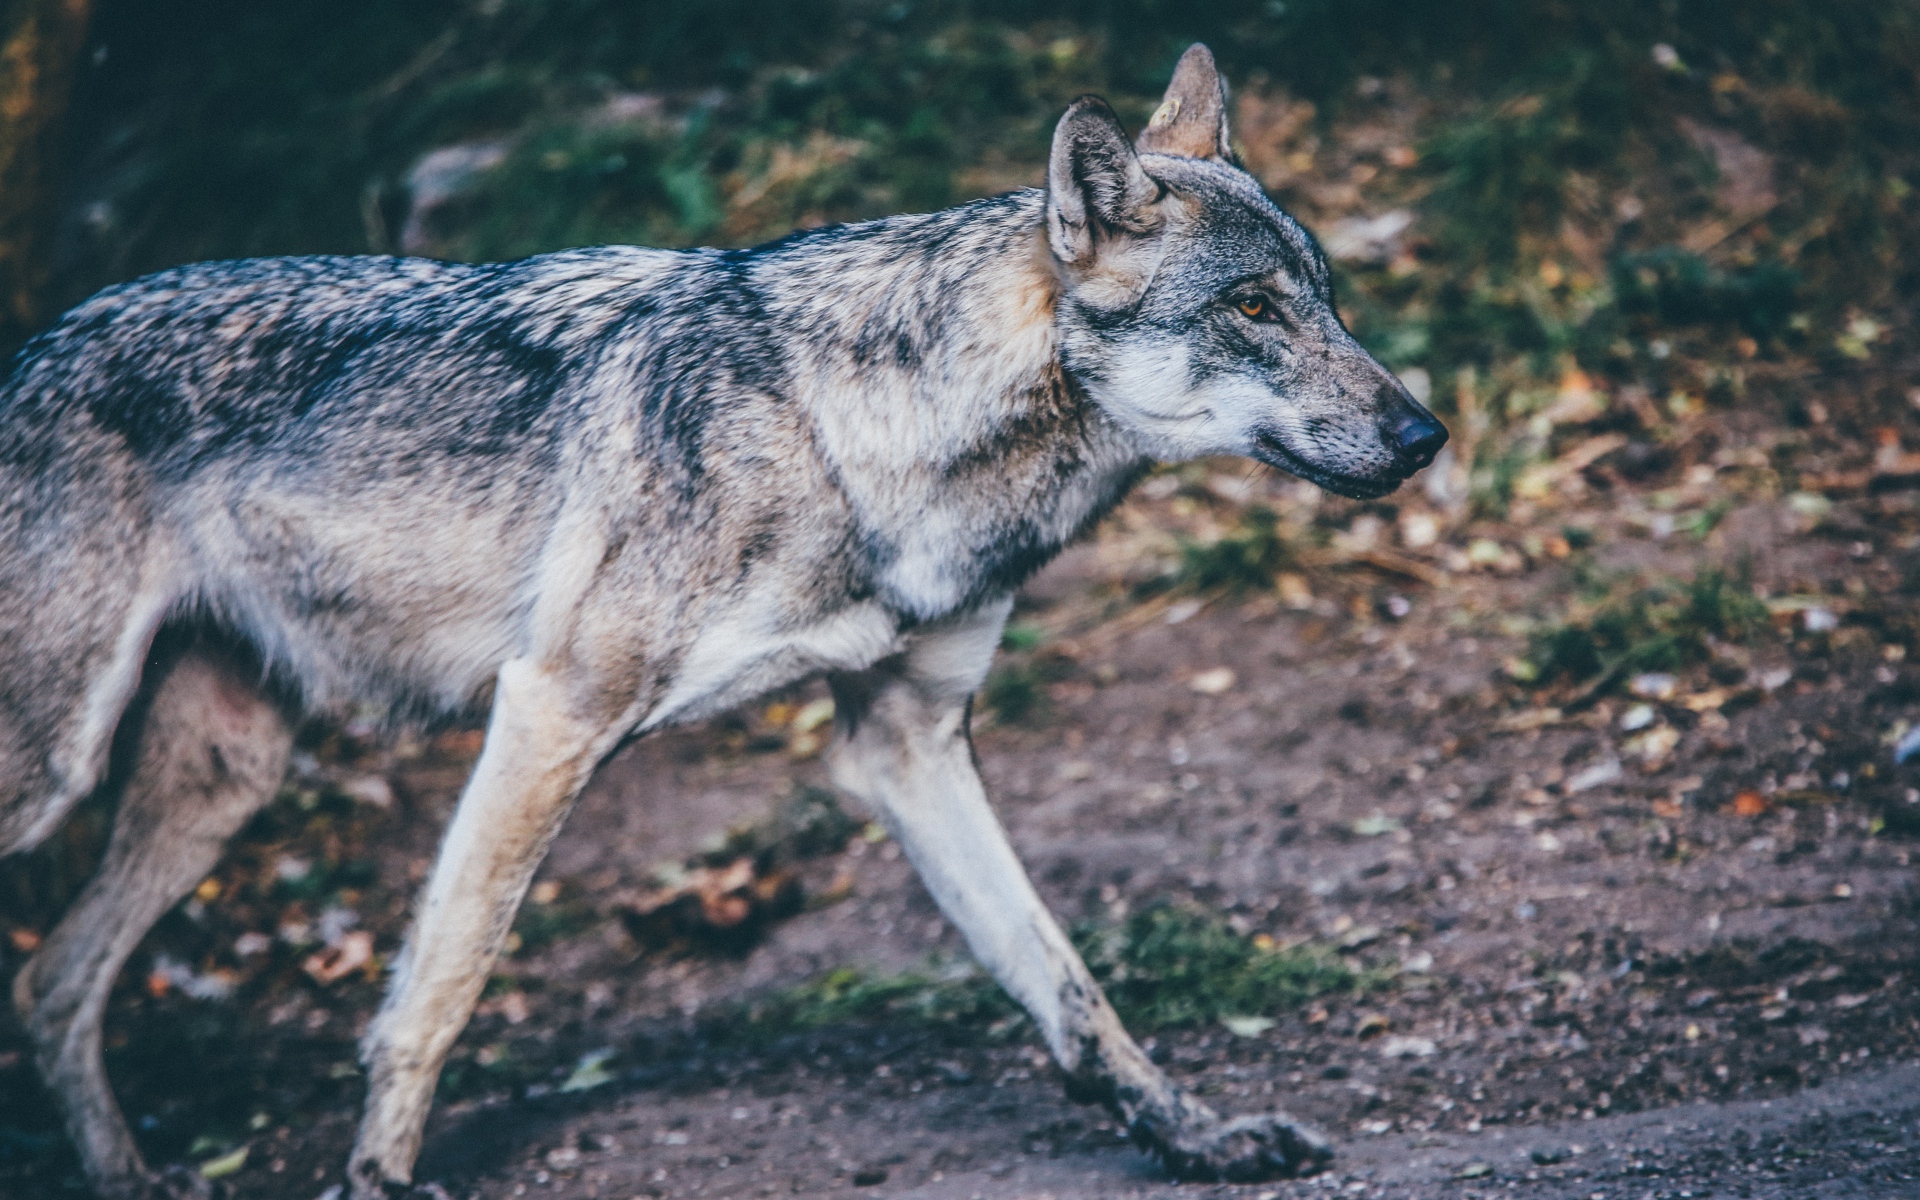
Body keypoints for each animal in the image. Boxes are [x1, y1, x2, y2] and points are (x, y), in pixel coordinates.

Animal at [1, 45, 1444, 1199]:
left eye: (1328, 296)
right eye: (1252, 309)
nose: (1425, 434)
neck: (855, 438)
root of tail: (36, 341)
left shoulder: (908, 743)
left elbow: (1067, 983)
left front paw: (1196, 1137)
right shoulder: (551, 712)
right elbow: (438, 994)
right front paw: (381, 1180)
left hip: (223, 779)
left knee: (52, 981)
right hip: (61, 768)